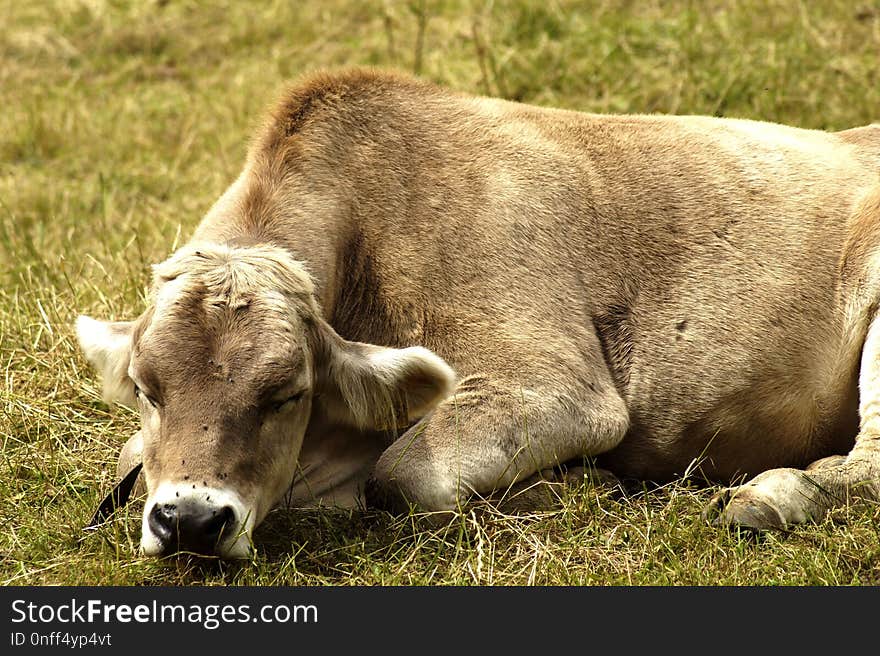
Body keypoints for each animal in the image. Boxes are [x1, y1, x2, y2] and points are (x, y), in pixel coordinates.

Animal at [77, 66, 880, 560]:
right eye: (147, 389)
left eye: (286, 394)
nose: (190, 519)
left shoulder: (559, 386)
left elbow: (405, 477)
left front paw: (577, 487)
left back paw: (768, 496)